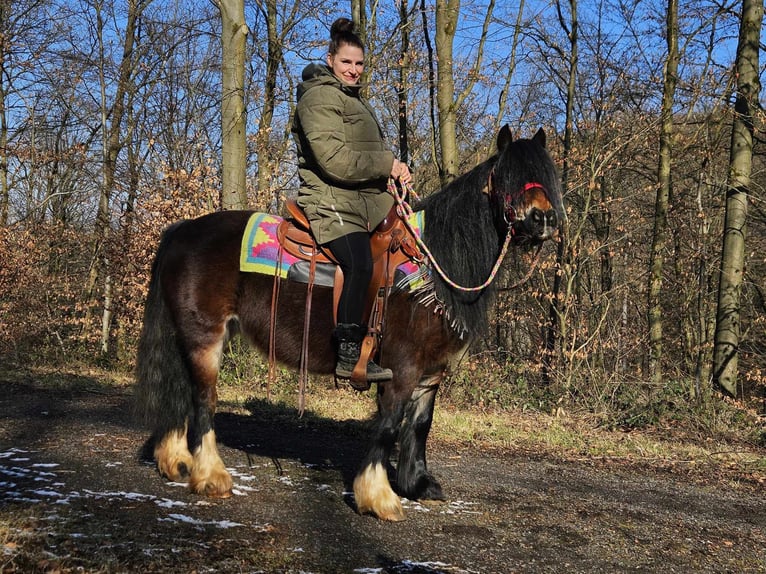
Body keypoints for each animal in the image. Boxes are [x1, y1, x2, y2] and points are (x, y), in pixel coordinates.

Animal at [134, 126, 564, 520]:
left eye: (546, 174)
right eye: (506, 176)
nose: (542, 219)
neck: (431, 266)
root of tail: (183, 230)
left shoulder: (431, 372)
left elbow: (420, 425)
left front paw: (417, 484)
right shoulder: (401, 368)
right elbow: (389, 424)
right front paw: (379, 497)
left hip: (188, 337)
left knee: (179, 393)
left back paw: (176, 462)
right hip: (205, 337)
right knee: (203, 400)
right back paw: (212, 476)